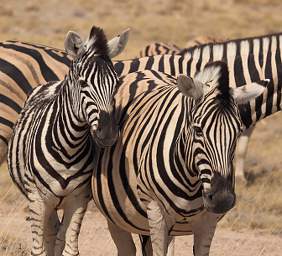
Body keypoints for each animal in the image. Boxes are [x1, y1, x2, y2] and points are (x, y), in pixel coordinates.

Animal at [7, 26, 129, 256]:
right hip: (45, 203)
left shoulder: (79, 199)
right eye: (83, 83)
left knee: (57, 237)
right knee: (49, 235)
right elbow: (39, 250)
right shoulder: (37, 199)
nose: (108, 134)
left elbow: (69, 248)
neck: (68, 147)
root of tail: (52, 83)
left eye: (116, 83)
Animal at [91, 63, 270, 254]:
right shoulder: (156, 213)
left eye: (238, 132)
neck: (191, 182)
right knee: (126, 248)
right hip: (116, 216)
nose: (222, 199)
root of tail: (145, 71)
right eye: (198, 130)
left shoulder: (207, 221)